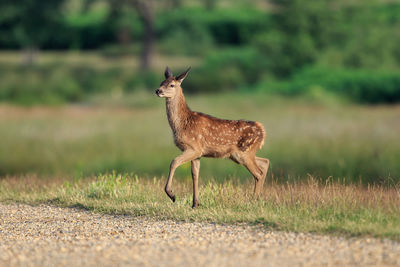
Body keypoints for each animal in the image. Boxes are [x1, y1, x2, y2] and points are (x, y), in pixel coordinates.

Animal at [155, 67, 268, 209]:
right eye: (161, 82)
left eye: (171, 85)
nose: (158, 90)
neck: (183, 123)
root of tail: (262, 131)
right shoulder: (197, 153)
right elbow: (195, 174)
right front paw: (195, 203)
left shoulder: (194, 147)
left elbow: (174, 162)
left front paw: (171, 194)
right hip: (241, 154)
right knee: (265, 162)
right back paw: (258, 199)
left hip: (244, 152)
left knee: (258, 173)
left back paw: (252, 202)